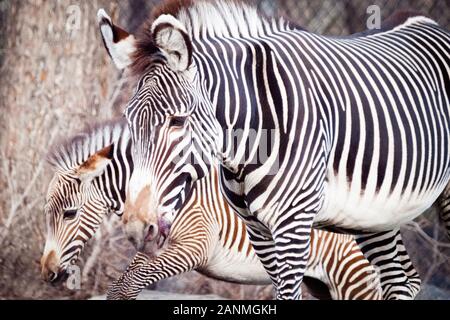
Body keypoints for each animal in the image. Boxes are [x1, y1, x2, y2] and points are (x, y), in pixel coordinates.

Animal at [41, 118, 384, 300]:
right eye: (47, 214)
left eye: (69, 213)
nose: (47, 272)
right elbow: (122, 285)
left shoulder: (196, 245)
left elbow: (128, 285)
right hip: (321, 283)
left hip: (352, 278)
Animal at [96, 0, 448, 300]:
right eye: (130, 119)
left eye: (178, 121)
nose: (137, 225)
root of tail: (427, 22)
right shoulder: (258, 231)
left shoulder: (294, 224)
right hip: (374, 213)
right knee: (400, 279)